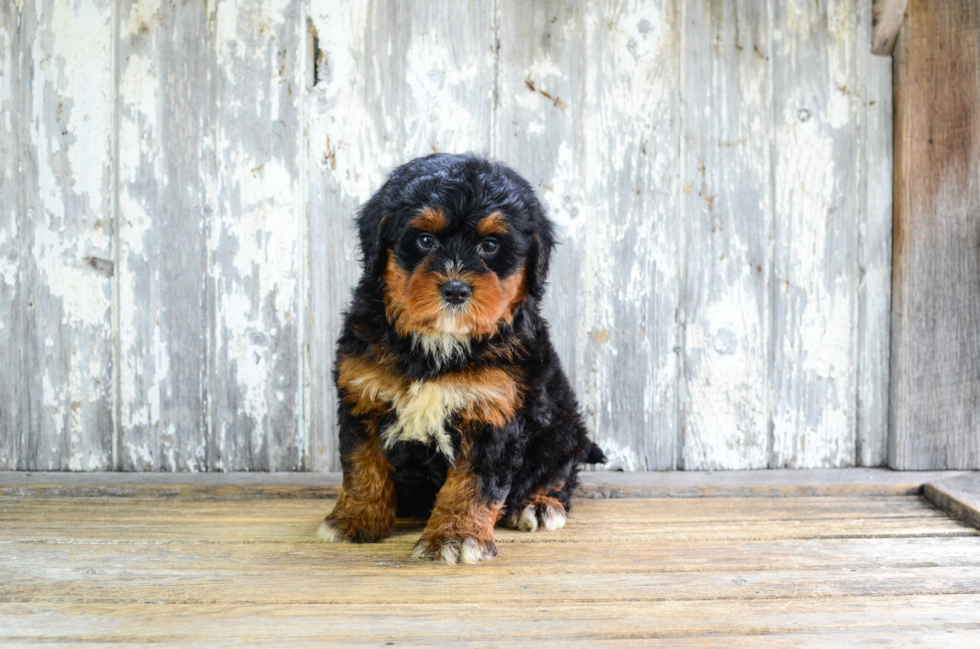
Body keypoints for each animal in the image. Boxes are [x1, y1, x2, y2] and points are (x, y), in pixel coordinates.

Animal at [318, 153, 604, 560]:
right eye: (425, 239)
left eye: (489, 245)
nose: (455, 289)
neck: (440, 344)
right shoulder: (363, 395)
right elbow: (362, 465)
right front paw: (353, 520)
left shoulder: (493, 411)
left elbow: (472, 484)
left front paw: (455, 538)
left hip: (561, 425)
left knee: (559, 470)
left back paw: (540, 505)